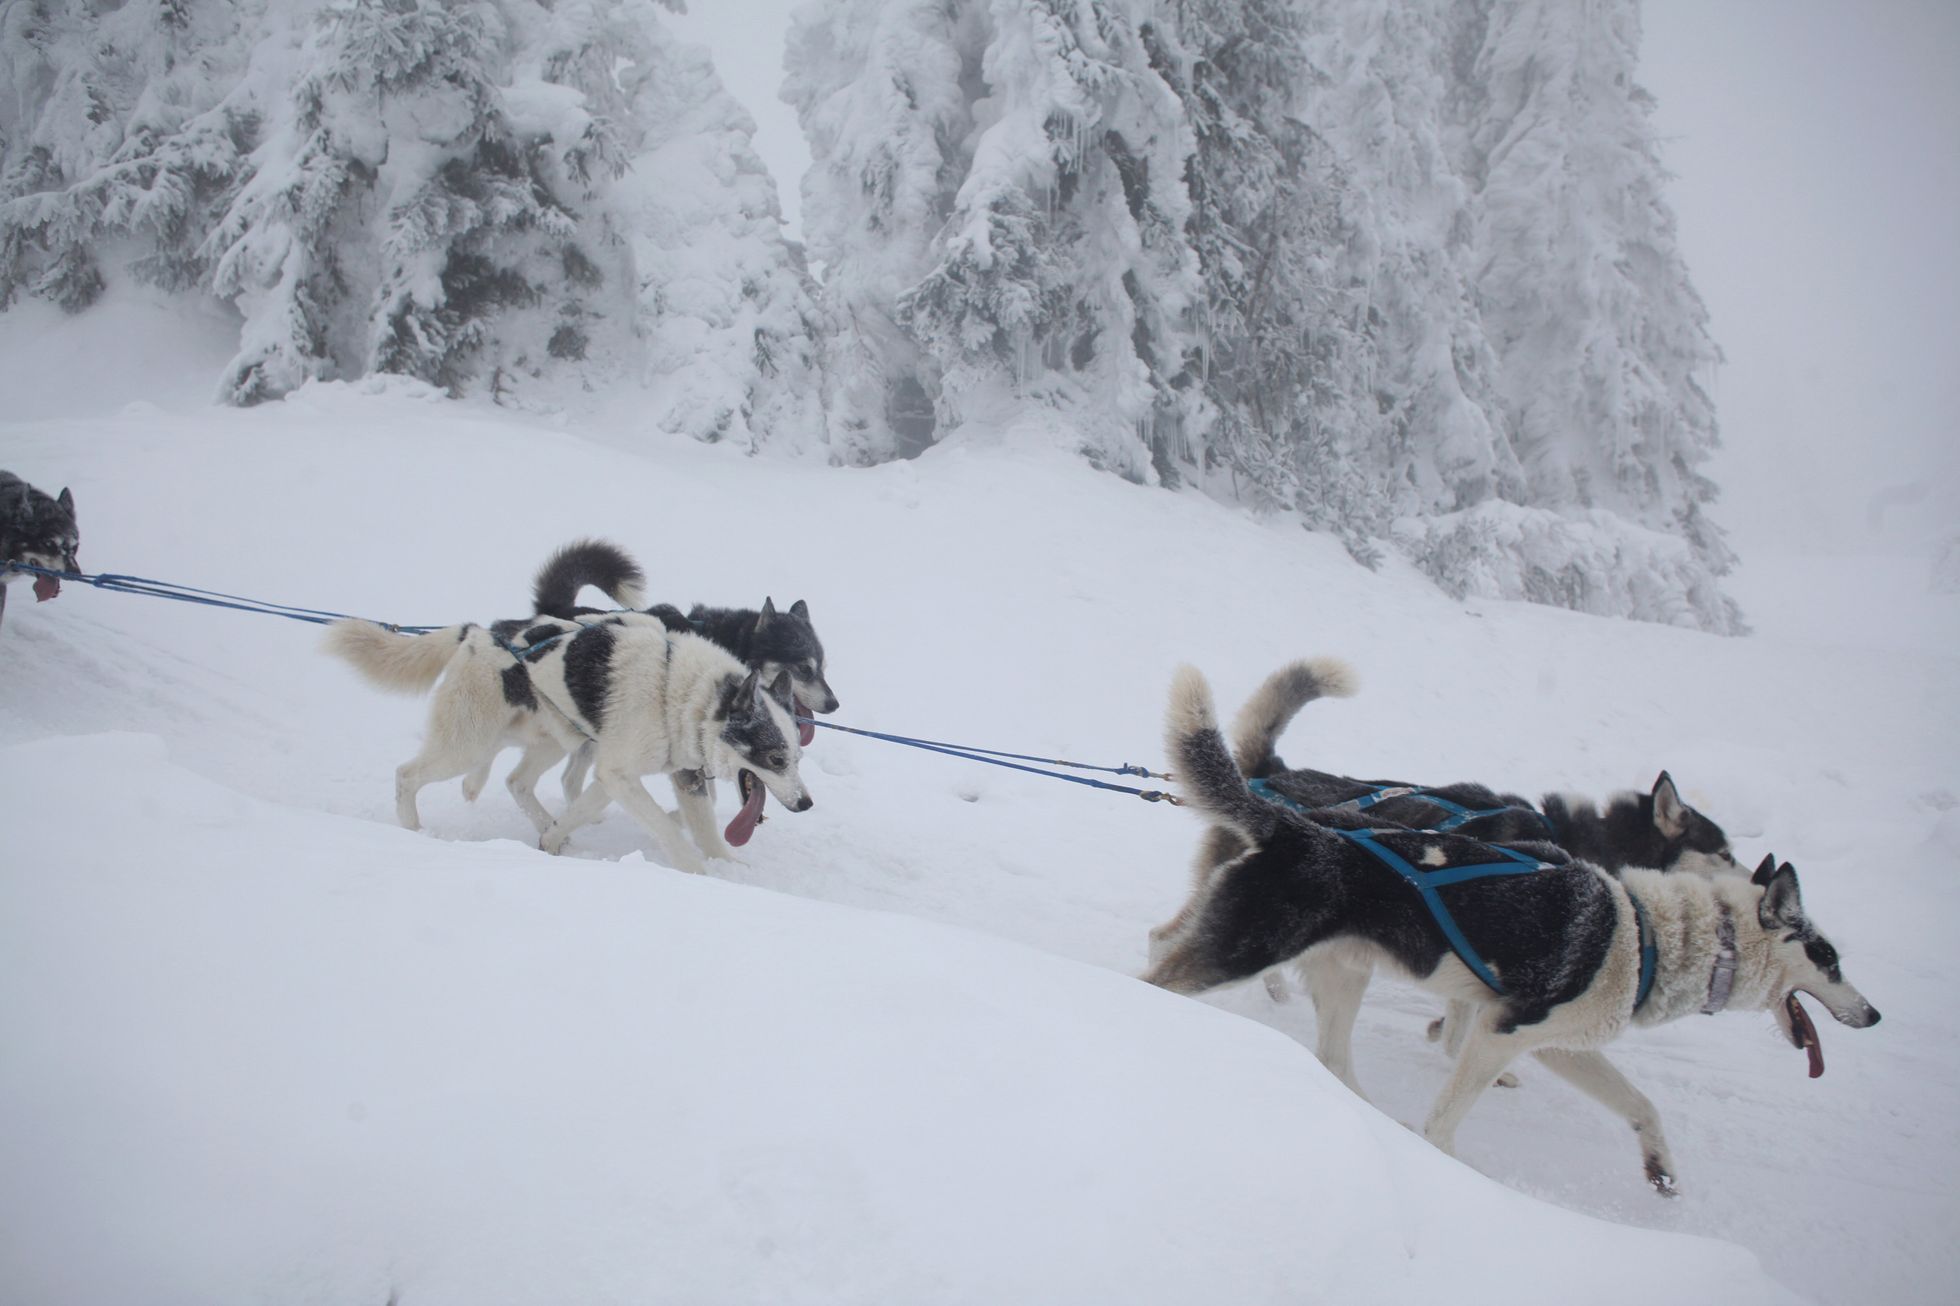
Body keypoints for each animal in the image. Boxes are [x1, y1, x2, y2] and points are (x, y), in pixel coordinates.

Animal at [323, 611, 811, 862]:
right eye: (775, 757)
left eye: (796, 757)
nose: (806, 803)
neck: (681, 692)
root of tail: (478, 634)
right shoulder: (619, 773)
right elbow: (667, 830)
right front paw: (696, 870)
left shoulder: (671, 775)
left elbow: (702, 831)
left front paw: (728, 871)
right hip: (466, 744)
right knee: (407, 775)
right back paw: (413, 831)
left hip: (552, 741)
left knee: (517, 781)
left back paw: (545, 827)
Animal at [1144, 666, 1881, 1184]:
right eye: (1830, 957)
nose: (1874, 1015)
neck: (1645, 932)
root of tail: (1295, 818)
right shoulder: (1504, 1030)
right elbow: (1448, 1106)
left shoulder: (1558, 1042)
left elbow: (1641, 1104)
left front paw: (1662, 1170)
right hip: (1246, 948)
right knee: (1166, 973)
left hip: (1338, 971)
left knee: (1318, 1049)